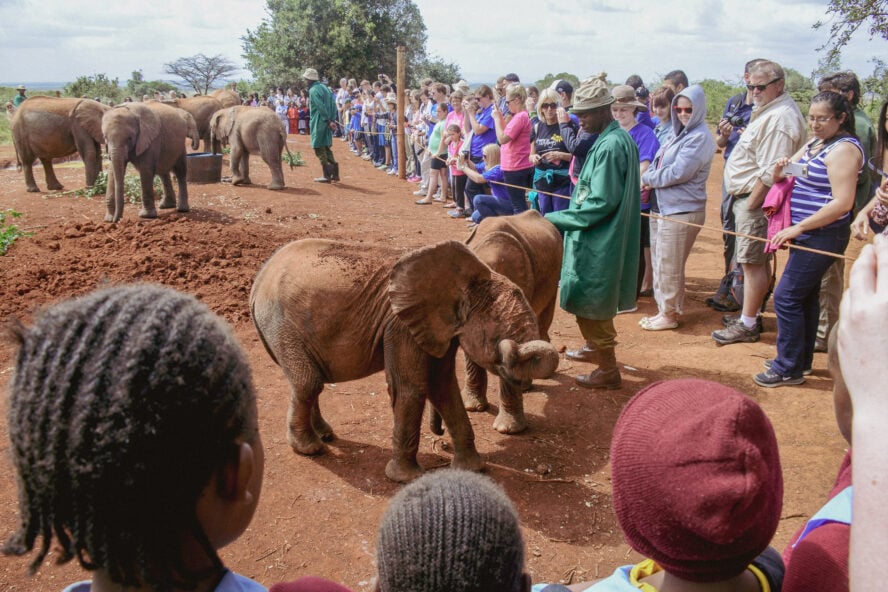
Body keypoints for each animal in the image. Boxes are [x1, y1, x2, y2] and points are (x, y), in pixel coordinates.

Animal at [248, 238, 556, 484]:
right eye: (498, 339)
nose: (440, 439)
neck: (467, 281)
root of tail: (259, 278)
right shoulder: (400, 327)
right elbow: (412, 388)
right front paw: (406, 479)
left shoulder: (438, 329)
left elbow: (442, 386)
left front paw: (473, 469)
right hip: (280, 324)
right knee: (308, 382)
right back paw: (310, 448)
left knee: (312, 381)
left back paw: (324, 435)